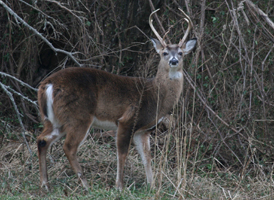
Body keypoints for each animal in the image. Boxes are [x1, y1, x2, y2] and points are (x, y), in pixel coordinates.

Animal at [37, 8, 197, 191]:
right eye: (164, 53)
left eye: (181, 53)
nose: (174, 60)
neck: (155, 95)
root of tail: (47, 84)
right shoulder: (127, 120)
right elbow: (122, 153)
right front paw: (120, 186)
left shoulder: (143, 130)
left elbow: (147, 158)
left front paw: (152, 186)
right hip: (79, 116)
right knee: (69, 147)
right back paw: (85, 185)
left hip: (54, 120)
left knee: (42, 140)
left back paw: (45, 184)